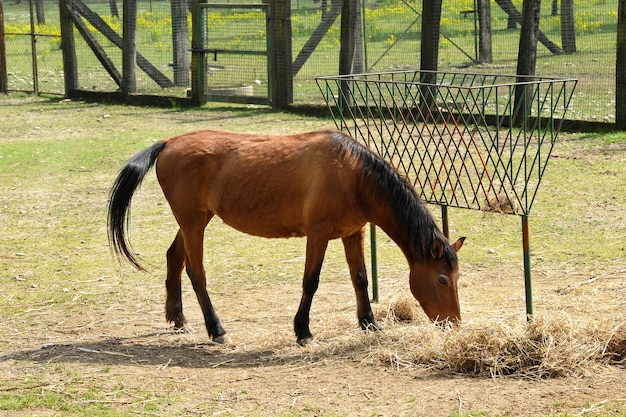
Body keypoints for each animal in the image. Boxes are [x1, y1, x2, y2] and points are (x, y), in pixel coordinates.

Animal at [107, 129, 460, 344]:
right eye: (442, 279)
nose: (453, 323)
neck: (353, 174)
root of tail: (168, 142)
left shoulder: (353, 233)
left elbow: (360, 279)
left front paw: (369, 323)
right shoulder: (318, 233)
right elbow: (311, 281)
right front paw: (302, 330)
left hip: (196, 220)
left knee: (174, 258)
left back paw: (178, 319)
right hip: (194, 223)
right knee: (196, 273)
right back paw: (216, 329)